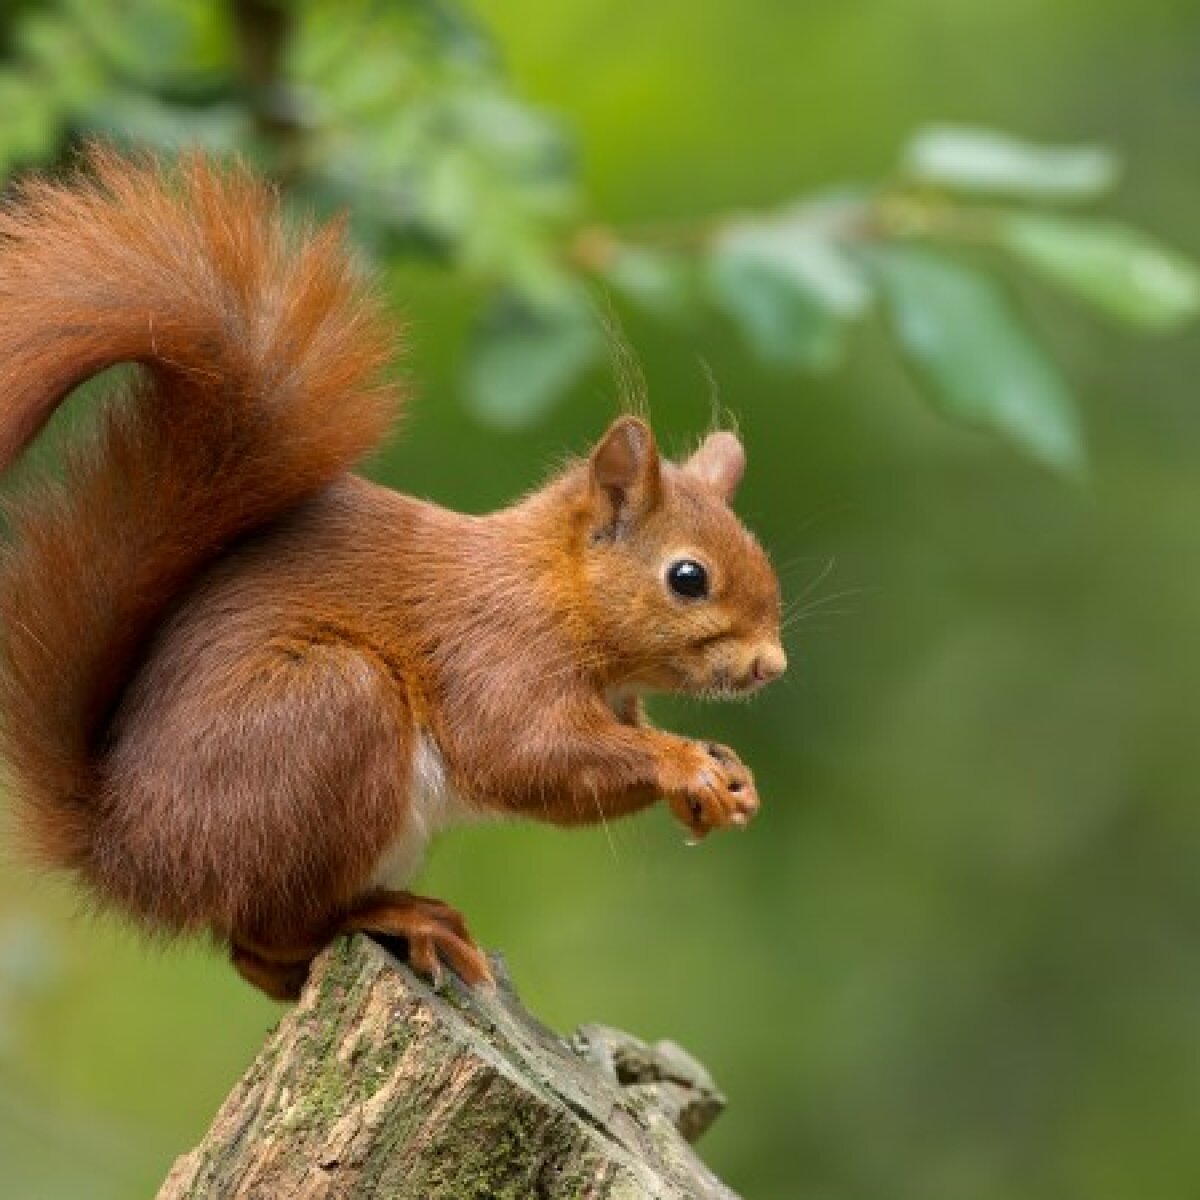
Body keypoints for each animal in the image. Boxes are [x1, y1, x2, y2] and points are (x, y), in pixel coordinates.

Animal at [0, 145, 787, 998]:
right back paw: (399, 916)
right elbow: (526, 756)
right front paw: (683, 764)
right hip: (329, 716)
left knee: (257, 960)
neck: (556, 591)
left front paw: (726, 775)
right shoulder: (496, 654)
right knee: (269, 931)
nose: (771, 665)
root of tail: (129, 855)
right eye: (688, 578)